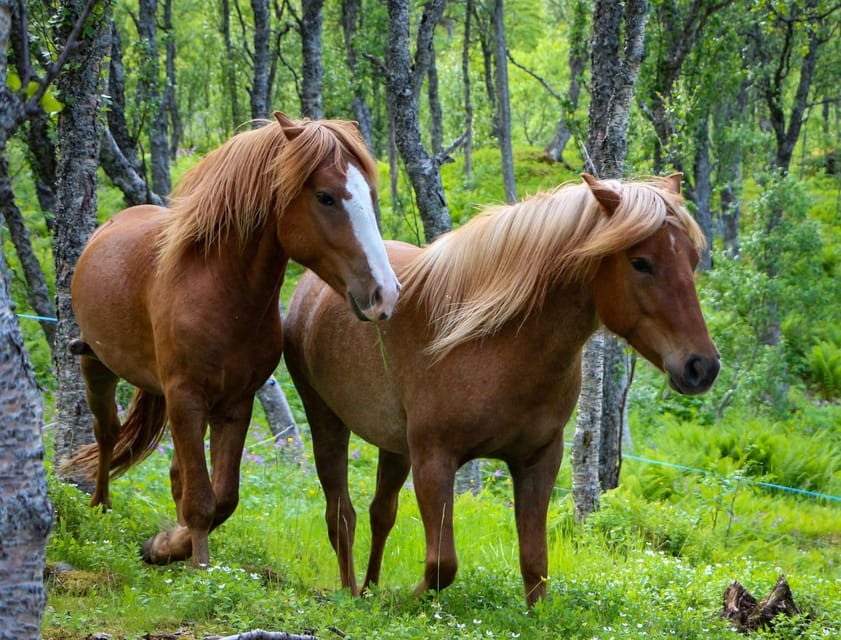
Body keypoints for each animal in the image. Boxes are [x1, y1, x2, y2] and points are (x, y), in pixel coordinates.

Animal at [65, 112, 400, 569]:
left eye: (370, 193)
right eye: (326, 197)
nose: (385, 294)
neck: (221, 291)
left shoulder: (235, 404)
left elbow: (221, 498)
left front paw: (171, 546)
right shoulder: (186, 398)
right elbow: (200, 499)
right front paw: (195, 564)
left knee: (172, 471)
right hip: (97, 367)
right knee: (107, 434)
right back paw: (100, 506)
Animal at [282, 173, 720, 606]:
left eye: (692, 261)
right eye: (640, 263)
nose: (703, 366)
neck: (496, 343)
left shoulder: (538, 460)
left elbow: (535, 564)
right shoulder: (434, 460)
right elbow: (441, 565)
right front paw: (406, 602)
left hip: (395, 446)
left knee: (381, 512)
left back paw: (370, 588)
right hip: (325, 421)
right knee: (341, 514)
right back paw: (350, 592)